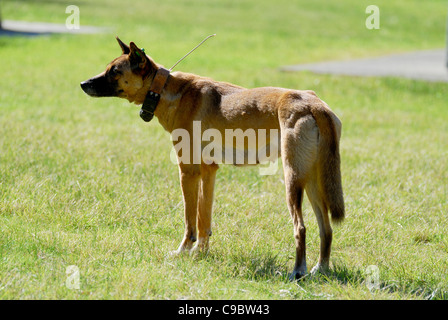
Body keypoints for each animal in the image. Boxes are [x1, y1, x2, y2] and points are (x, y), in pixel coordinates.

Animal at [80, 37, 344, 278]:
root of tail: (315, 104)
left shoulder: (187, 171)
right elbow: (204, 219)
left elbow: (190, 220)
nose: (82, 83)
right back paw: (320, 269)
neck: (164, 90)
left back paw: (297, 271)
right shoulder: (209, 171)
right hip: (311, 182)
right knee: (326, 228)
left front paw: (184, 251)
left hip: (293, 180)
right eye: (108, 68)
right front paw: (200, 253)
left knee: (301, 227)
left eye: (114, 71)